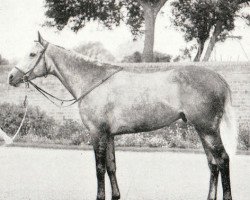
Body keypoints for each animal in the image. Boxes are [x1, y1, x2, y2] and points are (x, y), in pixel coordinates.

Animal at [8, 32, 238, 200]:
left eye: (32, 54)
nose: (11, 77)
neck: (93, 81)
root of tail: (218, 78)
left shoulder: (97, 133)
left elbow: (100, 168)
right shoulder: (109, 135)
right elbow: (111, 166)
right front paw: (116, 195)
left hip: (208, 129)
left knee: (223, 159)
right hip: (202, 130)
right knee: (213, 163)